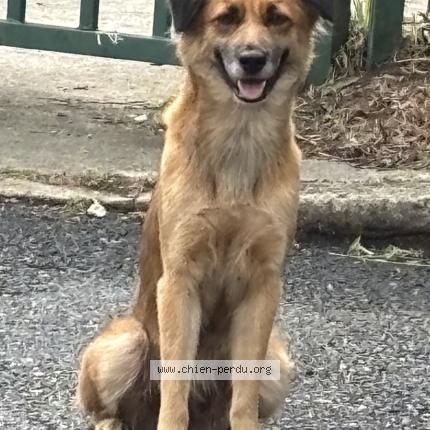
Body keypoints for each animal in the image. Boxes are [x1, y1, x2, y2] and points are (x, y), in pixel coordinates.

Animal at [77, 1, 332, 429]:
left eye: (277, 17)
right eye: (226, 17)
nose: (252, 60)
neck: (239, 137)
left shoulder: (263, 286)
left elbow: (244, 395)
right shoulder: (180, 280)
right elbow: (175, 386)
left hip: (277, 359)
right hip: (126, 341)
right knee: (113, 409)